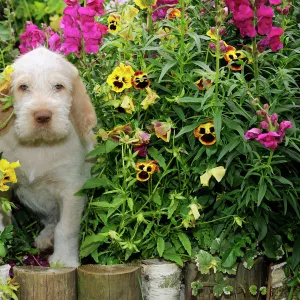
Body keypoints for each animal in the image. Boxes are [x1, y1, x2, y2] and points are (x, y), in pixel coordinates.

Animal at [0, 47, 96, 268]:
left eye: (58, 86)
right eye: (23, 87)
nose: (42, 115)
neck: (39, 145)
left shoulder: (71, 190)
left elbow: (66, 228)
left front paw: (64, 260)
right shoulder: (4, 182)